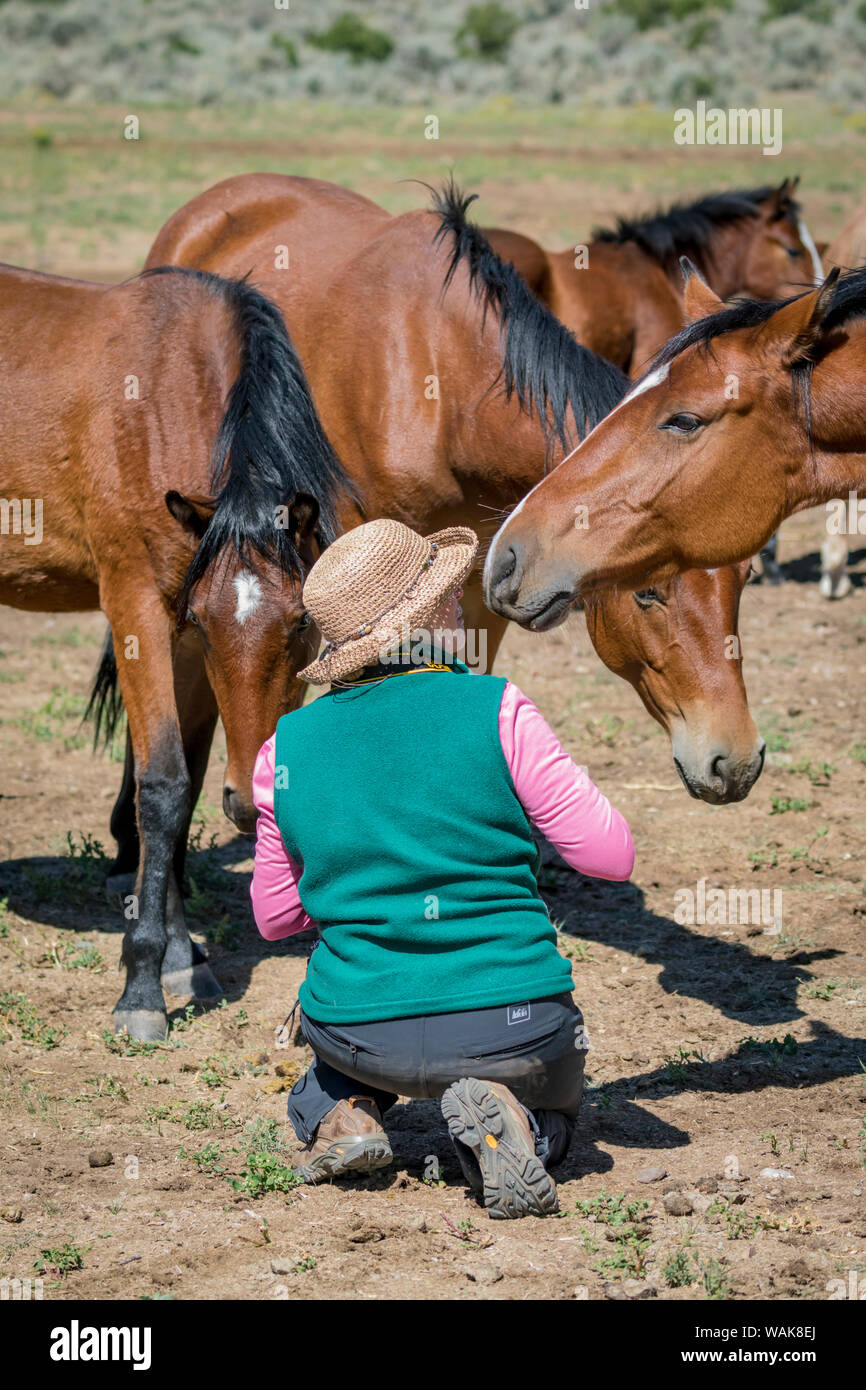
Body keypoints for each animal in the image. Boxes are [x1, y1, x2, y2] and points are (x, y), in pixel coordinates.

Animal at [0, 262, 355, 1045]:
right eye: (204, 618)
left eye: (303, 623)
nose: (252, 802)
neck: (162, 403)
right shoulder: (138, 606)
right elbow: (160, 785)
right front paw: (140, 987)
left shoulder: (181, 635)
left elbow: (186, 789)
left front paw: (182, 959)